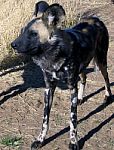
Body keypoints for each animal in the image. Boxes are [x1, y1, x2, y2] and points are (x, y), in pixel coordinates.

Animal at [11, 0, 112, 149]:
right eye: (22, 31)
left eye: (33, 34)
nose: (13, 44)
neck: (53, 56)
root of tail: (96, 19)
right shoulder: (49, 88)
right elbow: (45, 119)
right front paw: (40, 139)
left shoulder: (71, 87)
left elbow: (73, 120)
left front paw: (74, 141)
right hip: (82, 67)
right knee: (84, 78)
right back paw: (81, 98)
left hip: (101, 61)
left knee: (106, 78)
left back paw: (107, 97)